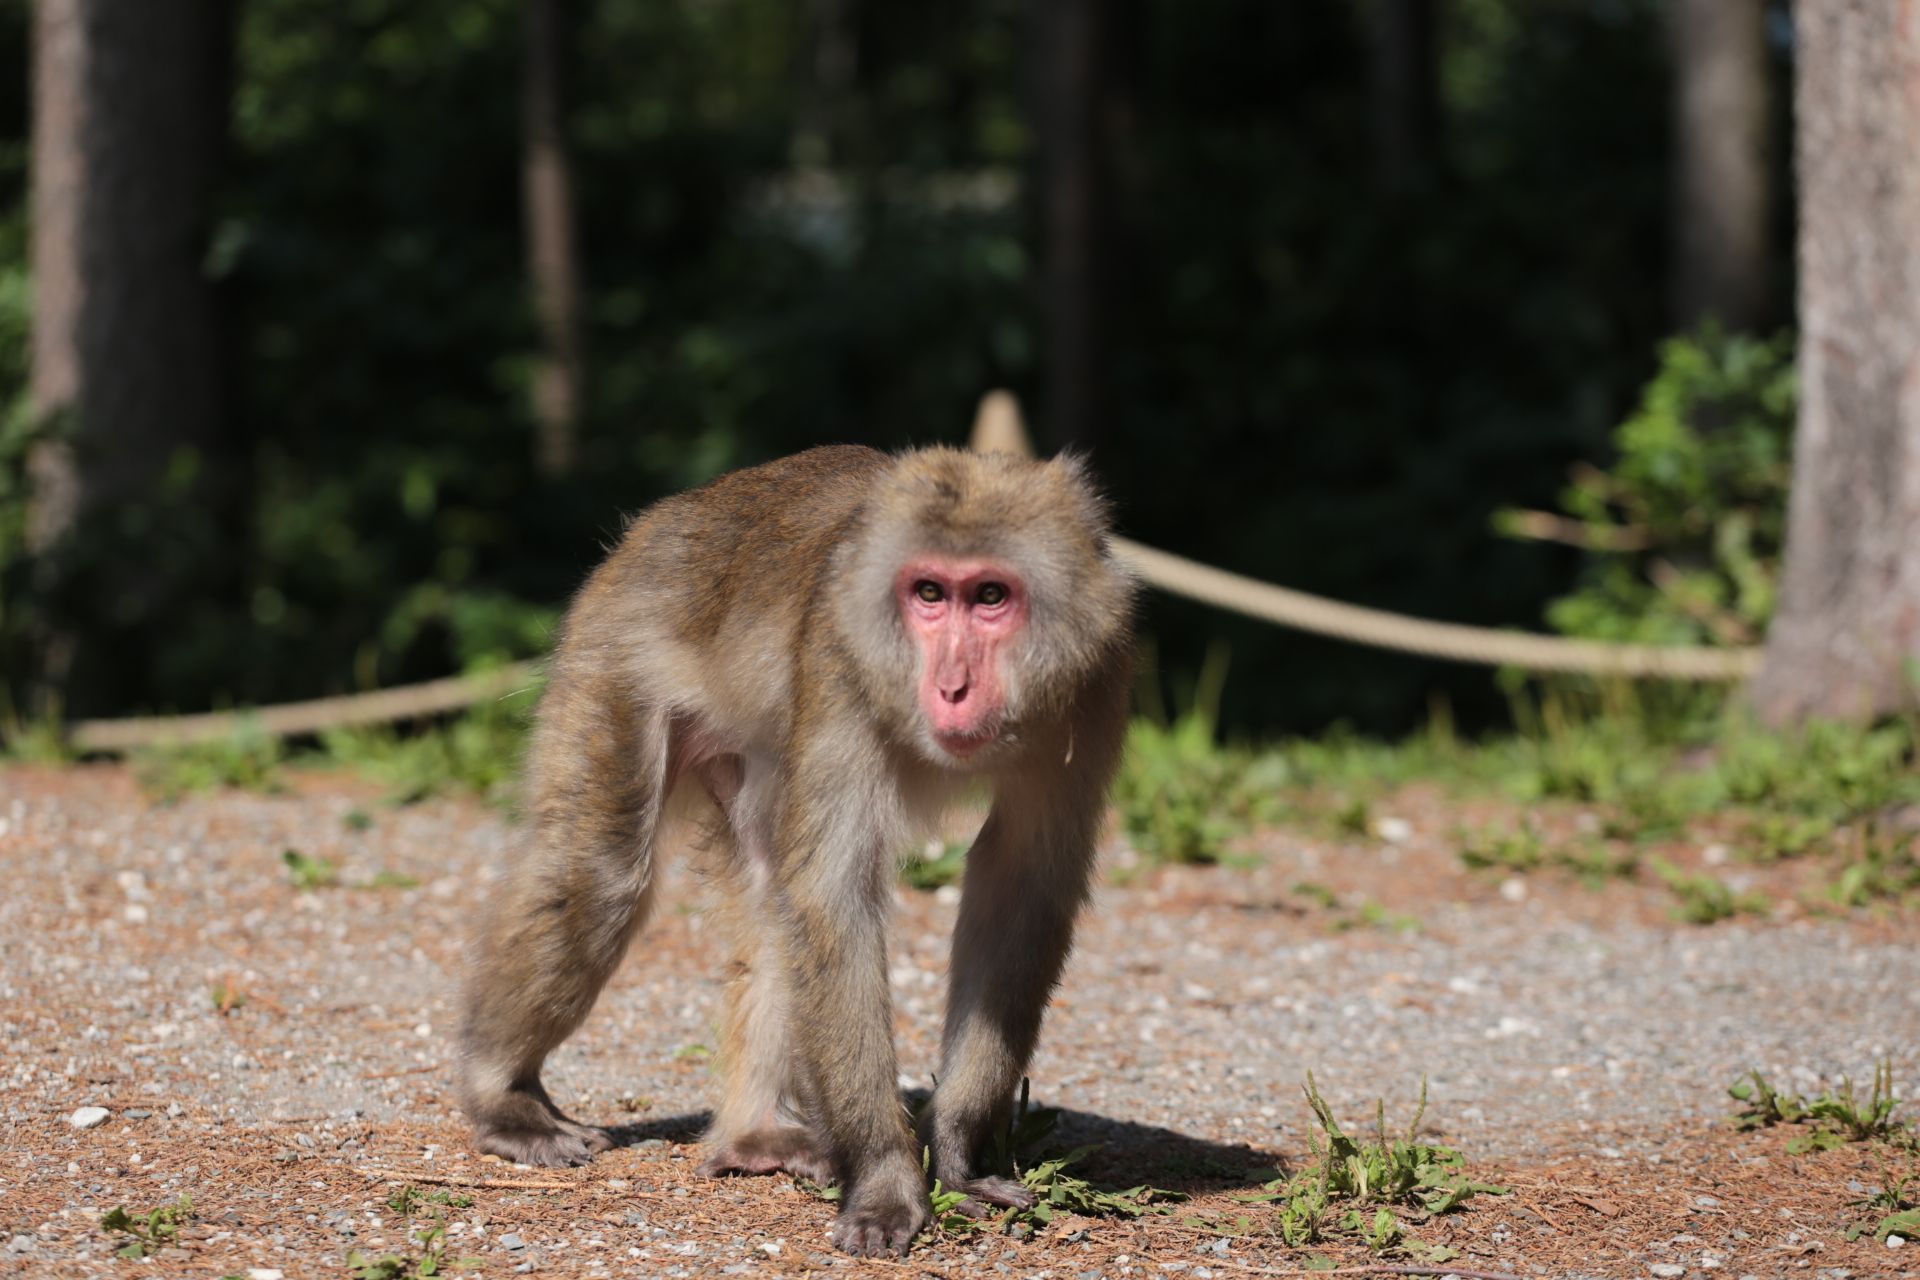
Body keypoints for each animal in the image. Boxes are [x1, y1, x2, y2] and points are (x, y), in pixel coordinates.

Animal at [454, 444, 1135, 1257]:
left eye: (992, 595)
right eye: (929, 594)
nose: (952, 686)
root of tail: (677, 509)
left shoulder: (1095, 682)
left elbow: (1021, 888)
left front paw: (959, 1149)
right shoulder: (839, 661)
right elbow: (834, 896)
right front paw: (885, 1175)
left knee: (770, 895)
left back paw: (751, 1137)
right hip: (619, 641)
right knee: (601, 872)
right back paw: (502, 1097)